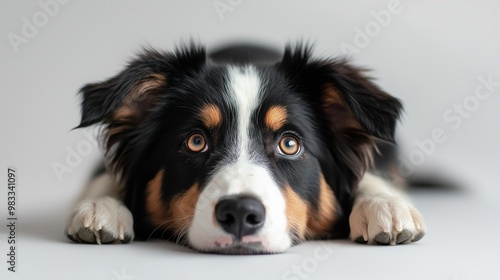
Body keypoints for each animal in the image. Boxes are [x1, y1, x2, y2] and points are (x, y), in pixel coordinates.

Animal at [65, 42, 426, 254]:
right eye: (196, 142)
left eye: (289, 144)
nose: (239, 213)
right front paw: (101, 207)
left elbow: (371, 178)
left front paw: (385, 205)